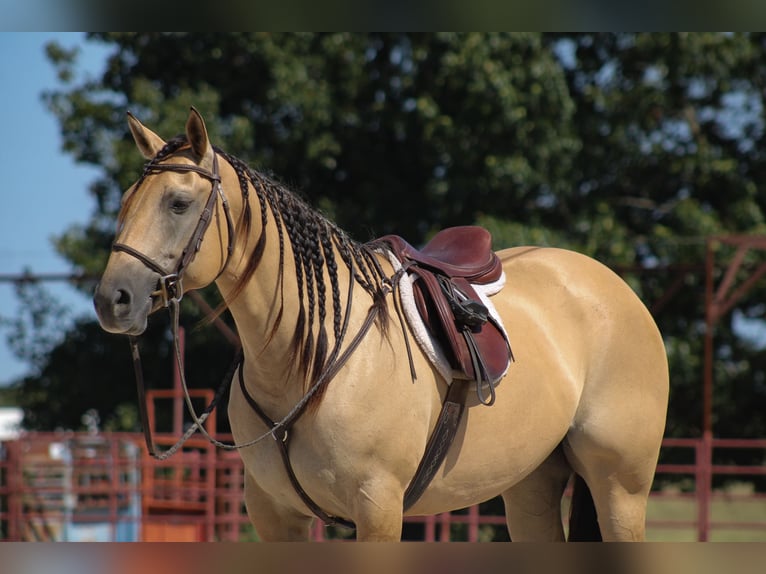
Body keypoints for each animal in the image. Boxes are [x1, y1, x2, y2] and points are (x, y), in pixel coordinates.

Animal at [94, 108, 669, 541]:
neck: (308, 362)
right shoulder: (276, 517)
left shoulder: (378, 510)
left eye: (178, 203)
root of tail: (616, 289)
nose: (111, 300)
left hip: (621, 489)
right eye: (125, 204)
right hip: (531, 487)